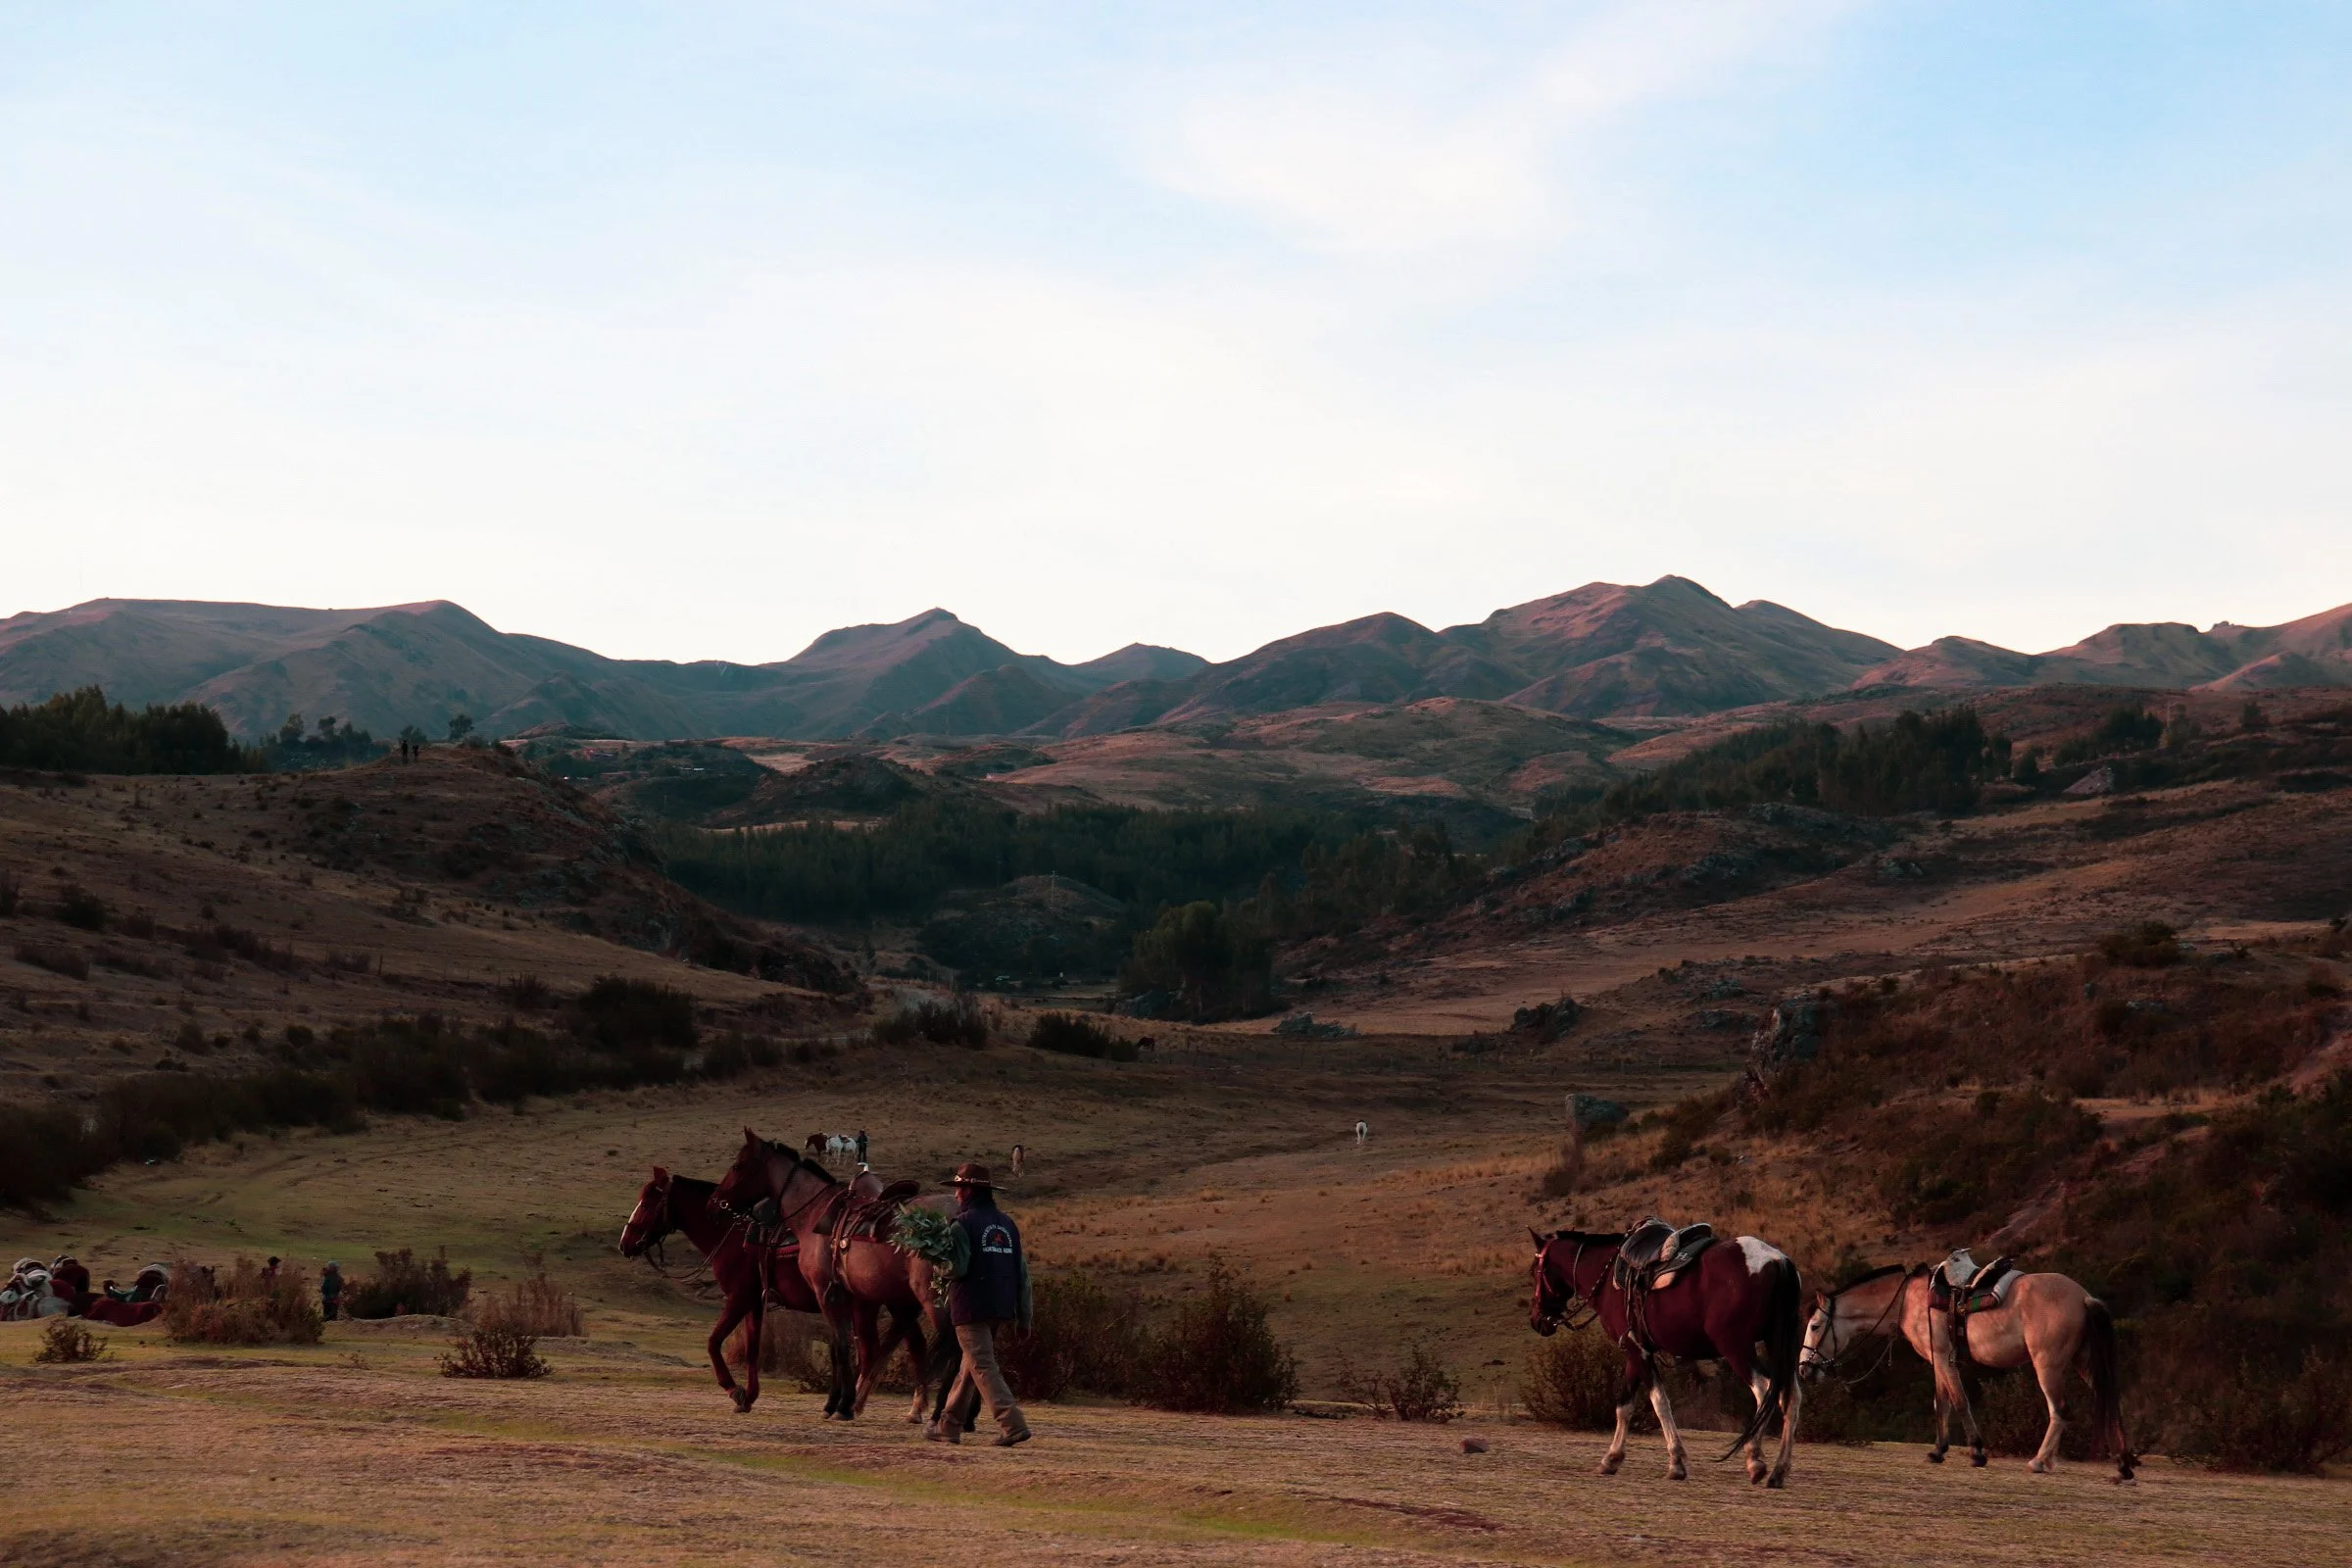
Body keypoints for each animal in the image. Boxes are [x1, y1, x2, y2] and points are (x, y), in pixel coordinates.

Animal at [712, 1129, 956, 1421]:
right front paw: (841, 1403)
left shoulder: (826, 1292)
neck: (812, 1213)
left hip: (932, 1298)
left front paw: (841, 1405)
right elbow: (842, 1348)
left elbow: (840, 1348)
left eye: (738, 1166)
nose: (716, 1201)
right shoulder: (846, 1298)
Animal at [1530, 1225, 1806, 1487]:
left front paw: (1676, 1462)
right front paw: (1611, 1458)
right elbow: (1624, 1406)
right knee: (1791, 1397)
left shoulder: (1638, 1351)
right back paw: (1779, 1470)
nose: (1537, 1321)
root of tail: (1777, 1261)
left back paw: (1755, 1458)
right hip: (1777, 1344)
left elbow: (1659, 1402)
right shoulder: (1635, 1351)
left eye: (1535, 1271)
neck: (1607, 1277)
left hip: (1736, 1347)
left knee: (1764, 1390)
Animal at [1799, 1262, 2134, 1479]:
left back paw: (2040, 1461)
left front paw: (1977, 1452)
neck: (1909, 1301)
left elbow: (1959, 1402)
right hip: (2084, 1363)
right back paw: (2121, 1463)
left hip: (2047, 1366)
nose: (1804, 1370)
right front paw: (1938, 1450)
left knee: (2060, 1410)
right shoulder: (1938, 1361)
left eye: (1814, 1326)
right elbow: (1942, 1403)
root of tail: (2083, 1297)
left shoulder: (1943, 1358)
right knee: (2109, 1401)